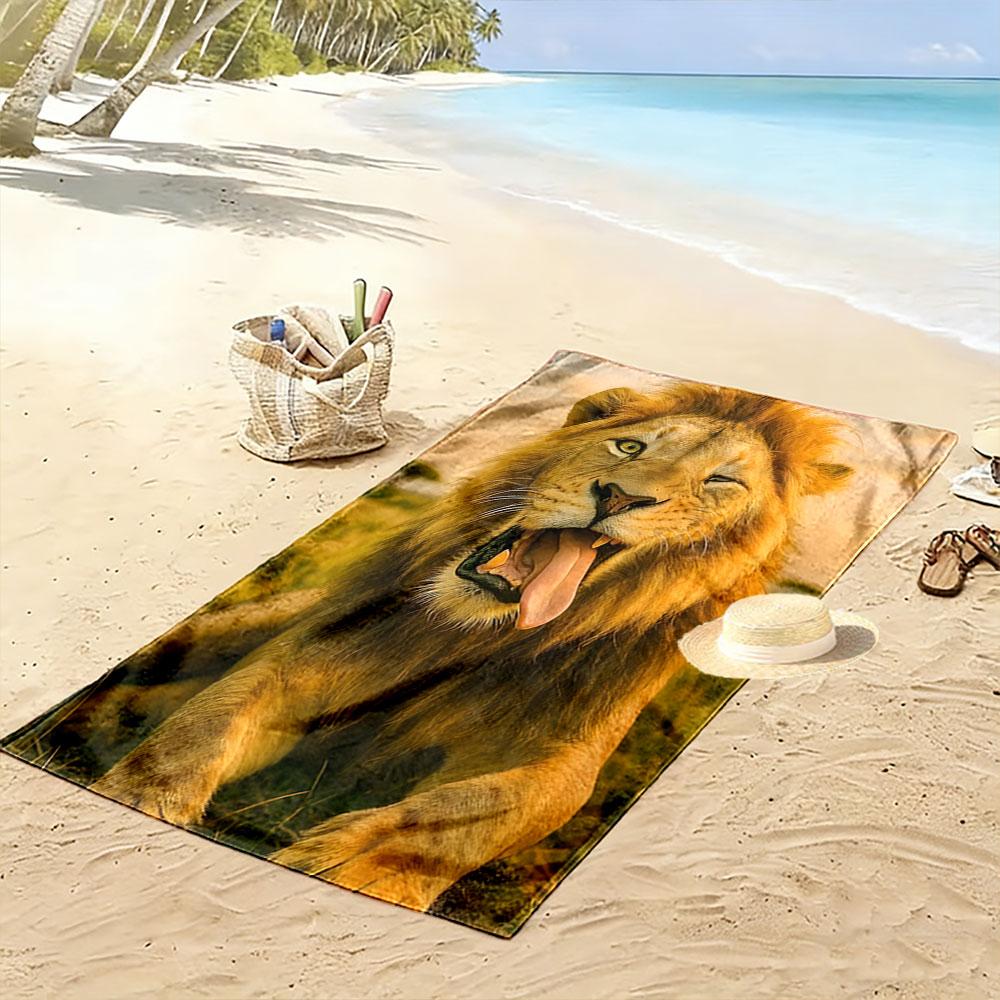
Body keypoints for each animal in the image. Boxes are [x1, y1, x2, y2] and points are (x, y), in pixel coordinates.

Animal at [90, 383, 852, 911]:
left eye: (721, 481)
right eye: (630, 448)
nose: (618, 496)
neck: (489, 638)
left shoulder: (566, 759)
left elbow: (452, 818)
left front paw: (351, 870)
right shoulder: (311, 660)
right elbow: (207, 721)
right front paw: (142, 795)